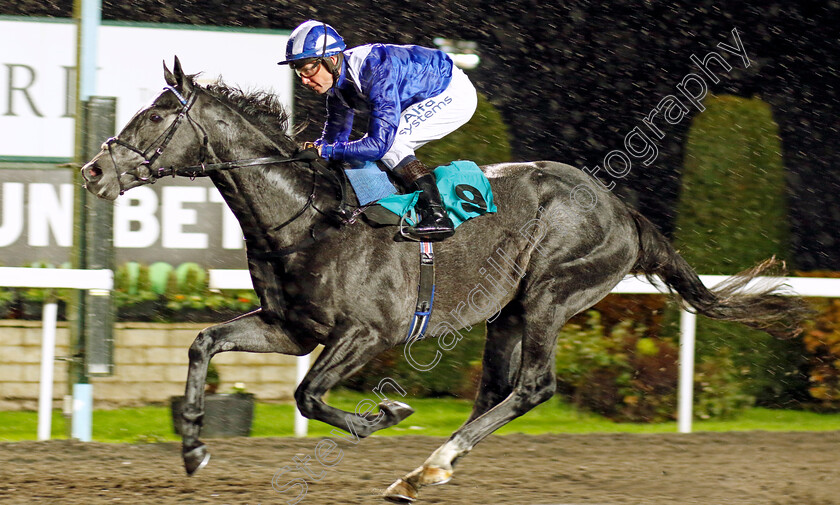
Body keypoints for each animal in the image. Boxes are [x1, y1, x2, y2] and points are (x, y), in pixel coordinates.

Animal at [80, 58, 808, 500]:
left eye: (155, 116)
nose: (93, 170)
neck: (308, 217)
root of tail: (621, 208)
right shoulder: (292, 328)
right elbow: (204, 343)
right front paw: (193, 449)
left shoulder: (366, 332)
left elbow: (310, 396)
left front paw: (385, 413)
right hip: (507, 313)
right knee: (496, 390)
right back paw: (425, 469)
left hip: (550, 293)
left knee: (534, 387)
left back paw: (429, 463)